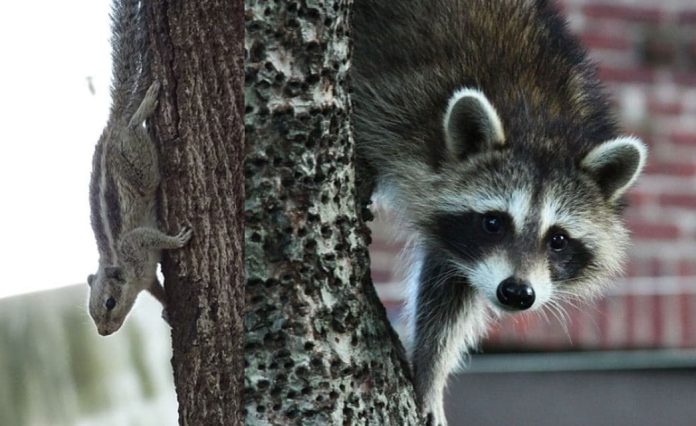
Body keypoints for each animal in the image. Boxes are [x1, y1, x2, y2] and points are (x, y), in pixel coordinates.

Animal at [352, 0, 647, 424]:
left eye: (558, 239)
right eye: (493, 222)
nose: (517, 293)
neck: (540, 124)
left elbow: (450, 289)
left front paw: (430, 370)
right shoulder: (395, 103)